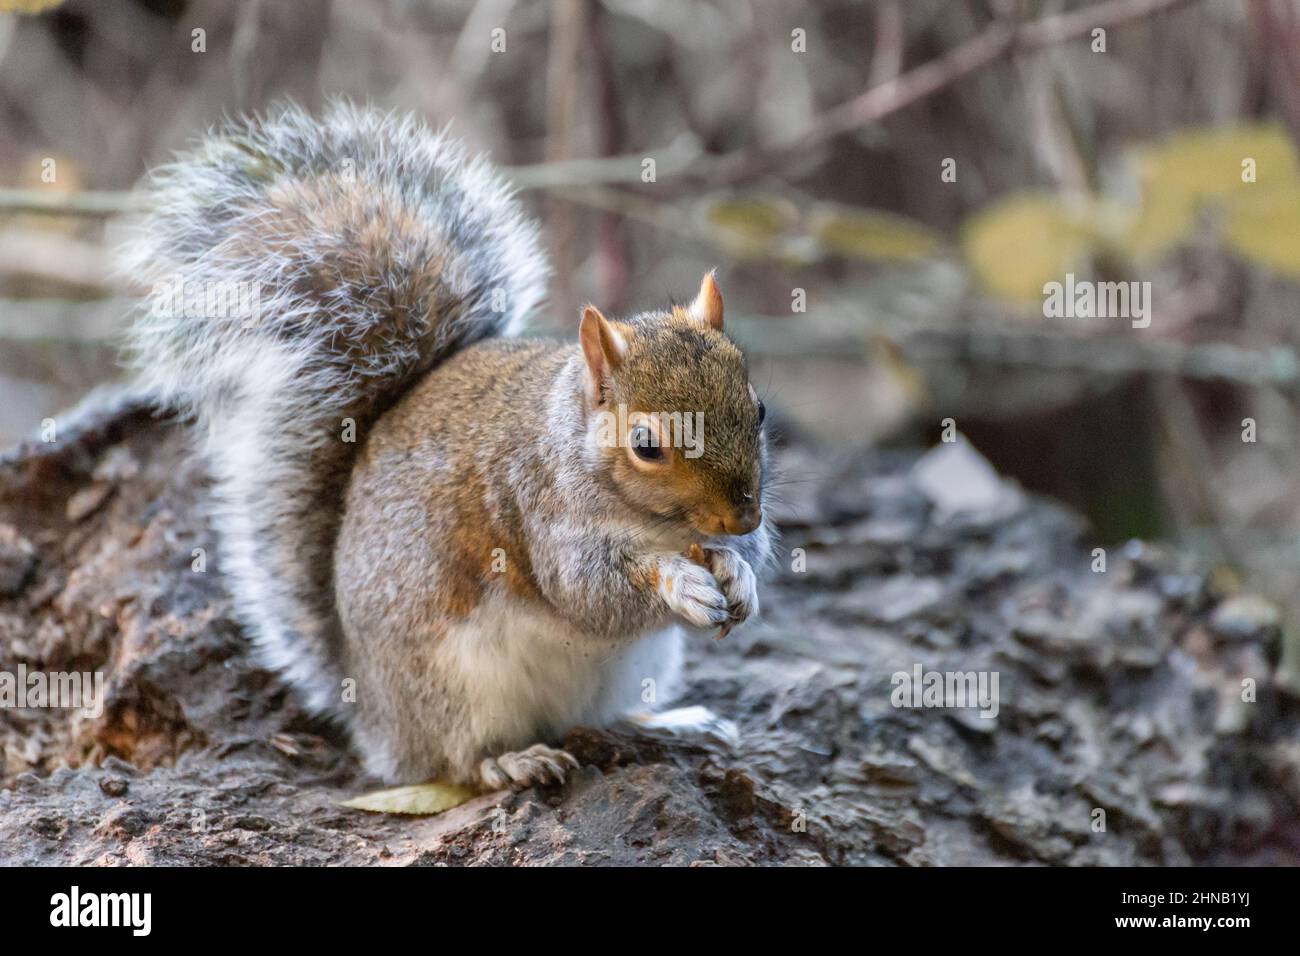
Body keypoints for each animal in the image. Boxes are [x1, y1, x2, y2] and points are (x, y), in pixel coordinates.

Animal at [121, 101, 773, 789]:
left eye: (758, 409)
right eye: (646, 445)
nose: (743, 516)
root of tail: (371, 712)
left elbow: (741, 560)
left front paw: (738, 574)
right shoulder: (539, 508)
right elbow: (589, 593)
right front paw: (680, 582)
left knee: (602, 715)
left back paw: (672, 722)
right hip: (452, 686)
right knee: (454, 761)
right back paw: (513, 760)